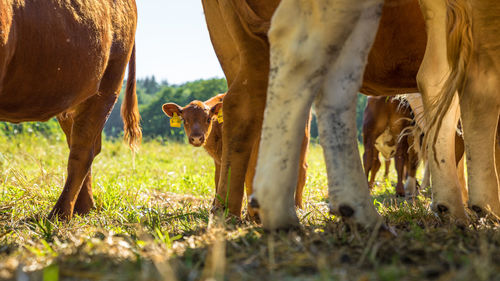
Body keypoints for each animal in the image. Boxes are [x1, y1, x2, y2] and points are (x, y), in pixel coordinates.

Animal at [162, 93, 308, 218]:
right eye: (184, 120)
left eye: (208, 119)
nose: (197, 138)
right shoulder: (219, 159)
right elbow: (218, 179)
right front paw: (215, 207)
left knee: (302, 169)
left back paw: (298, 206)